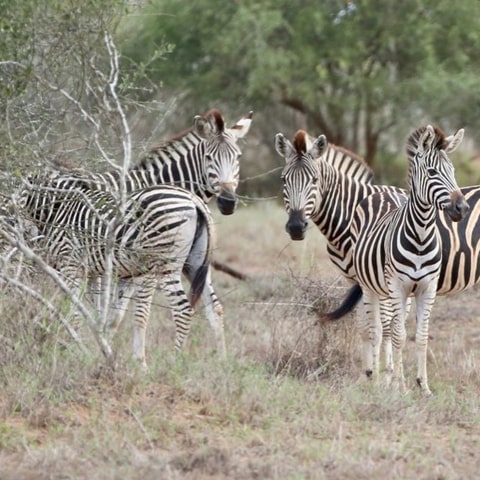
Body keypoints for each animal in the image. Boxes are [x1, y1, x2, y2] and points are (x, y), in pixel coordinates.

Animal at [18, 176, 221, 368]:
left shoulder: (72, 265)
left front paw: (73, 349)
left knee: (183, 310)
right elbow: (102, 315)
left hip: (166, 264)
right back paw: (223, 361)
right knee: (214, 307)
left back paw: (173, 361)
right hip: (196, 264)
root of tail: (194, 200)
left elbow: (75, 310)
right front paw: (100, 349)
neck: (58, 210)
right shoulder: (98, 272)